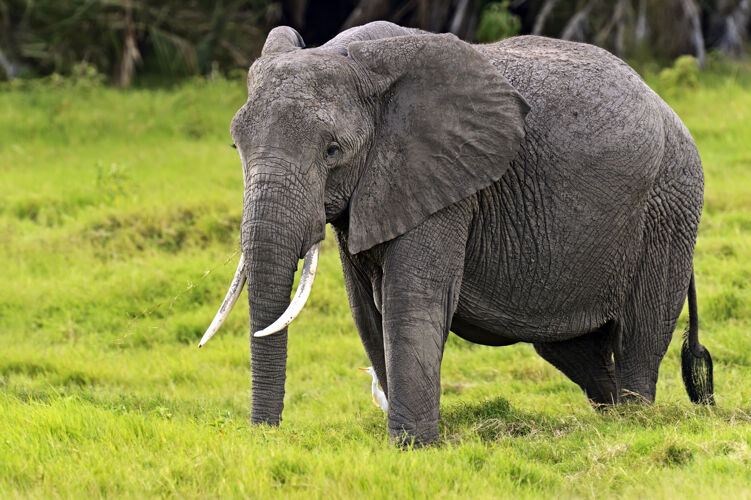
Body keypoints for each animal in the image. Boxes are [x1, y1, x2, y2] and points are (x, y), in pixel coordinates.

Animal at [197, 20, 712, 446]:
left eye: (332, 150)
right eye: (236, 145)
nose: (265, 438)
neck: (355, 59)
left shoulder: (442, 179)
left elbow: (411, 301)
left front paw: (412, 449)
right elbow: (366, 311)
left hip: (668, 205)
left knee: (638, 336)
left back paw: (636, 424)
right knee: (575, 350)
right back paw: (610, 422)